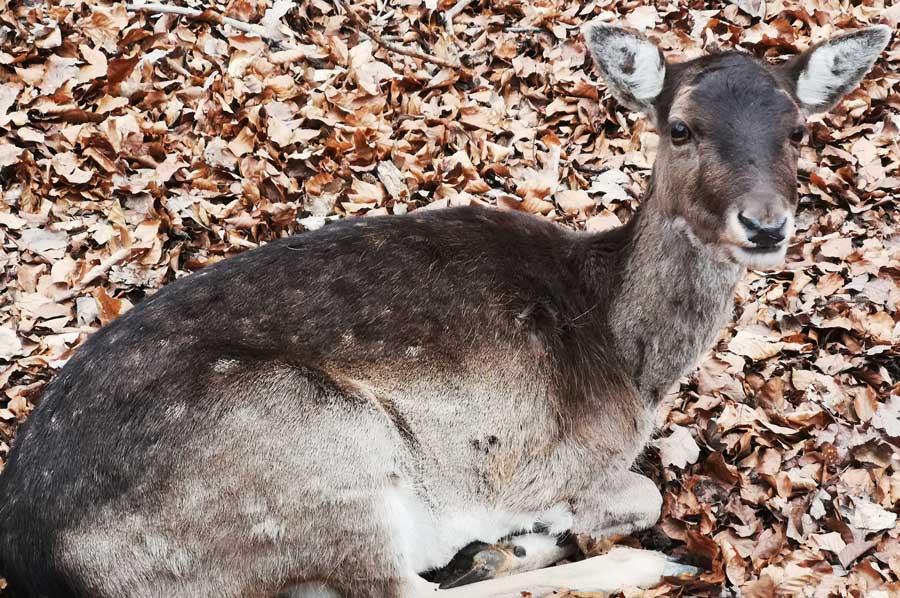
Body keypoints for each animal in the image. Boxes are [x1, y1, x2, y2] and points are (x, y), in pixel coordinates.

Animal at [0, 20, 891, 598]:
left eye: (799, 130)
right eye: (679, 127)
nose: (766, 225)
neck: (632, 367)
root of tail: (39, 560)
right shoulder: (558, 458)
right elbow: (644, 494)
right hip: (316, 446)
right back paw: (608, 562)